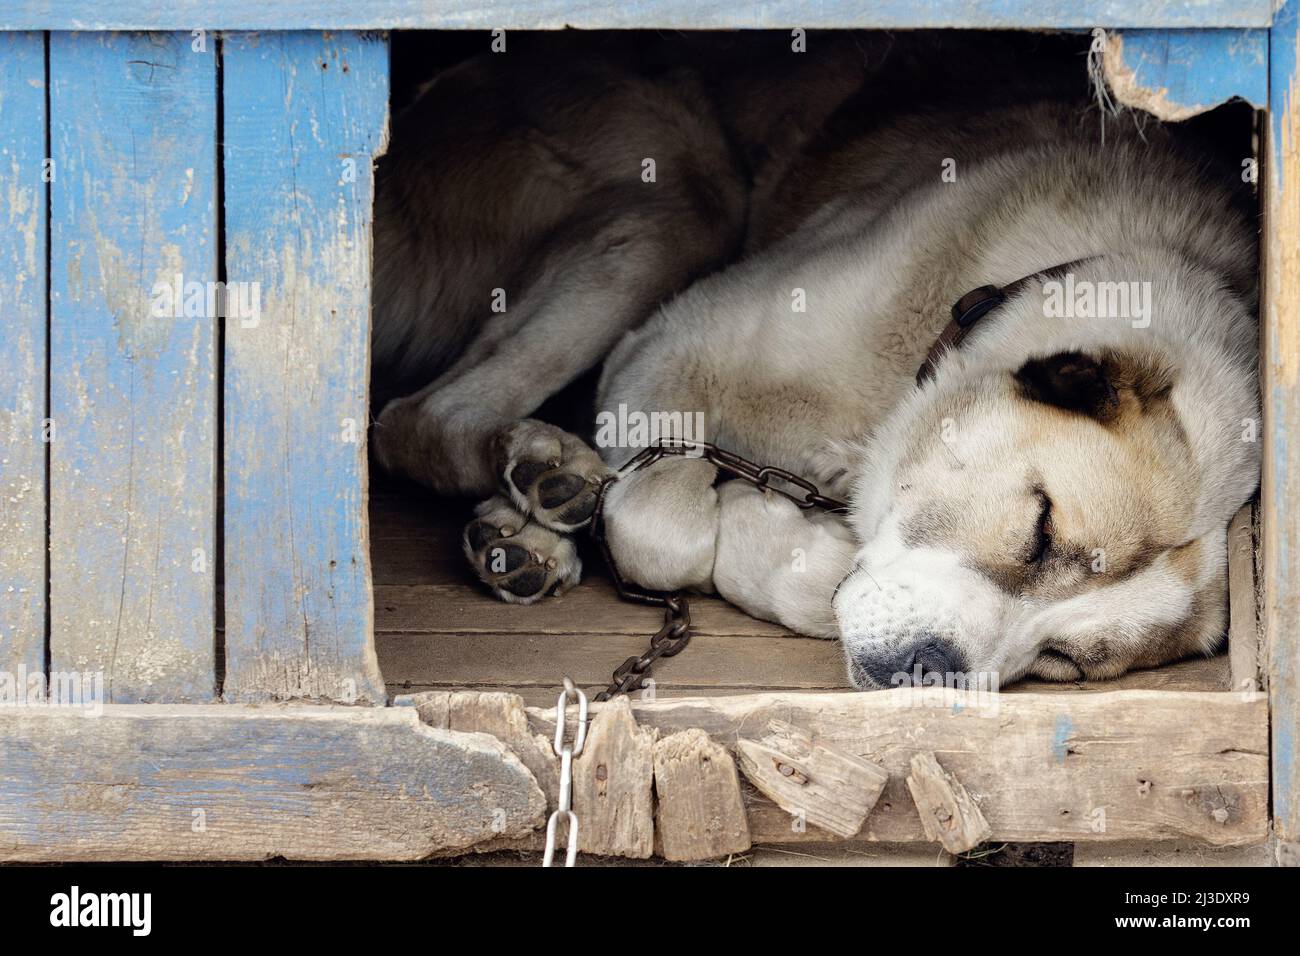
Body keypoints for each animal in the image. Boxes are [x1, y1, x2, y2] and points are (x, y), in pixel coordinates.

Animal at [371, 31, 1263, 686]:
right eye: (1041, 532)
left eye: (1065, 662)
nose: (930, 669)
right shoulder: (673, 346)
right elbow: (663, 526)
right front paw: (739, 517)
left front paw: (785, 535)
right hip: (678, 201)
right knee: (414, 419)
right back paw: (545, 472)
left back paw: (521, 534)